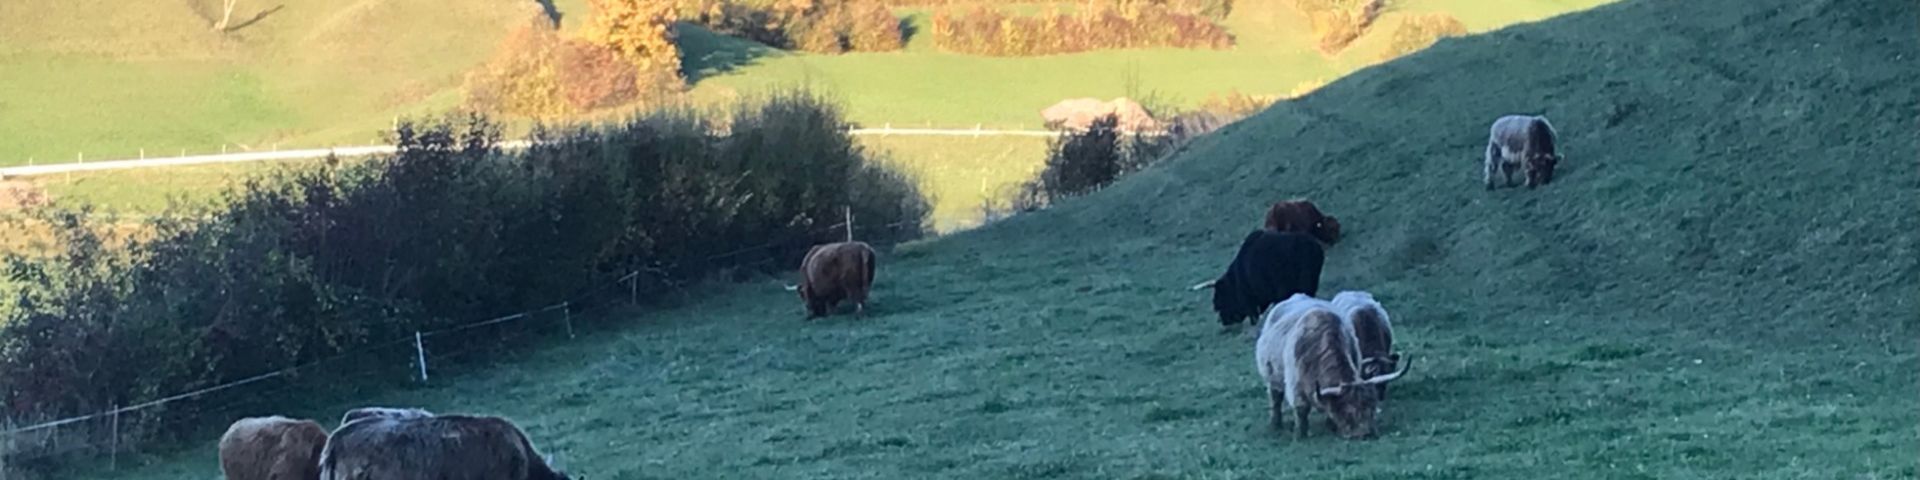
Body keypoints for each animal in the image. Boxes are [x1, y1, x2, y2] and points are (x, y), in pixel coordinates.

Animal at [1259, 291, 1413, 439]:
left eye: (1371, 408)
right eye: (1348, 411)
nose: (1364, 434)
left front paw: (1331, 426)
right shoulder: (1295, 386)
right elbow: (1301, 410)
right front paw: (1300, 435)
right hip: (1272, 376)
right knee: (1276, 398)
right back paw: (1275, 424)